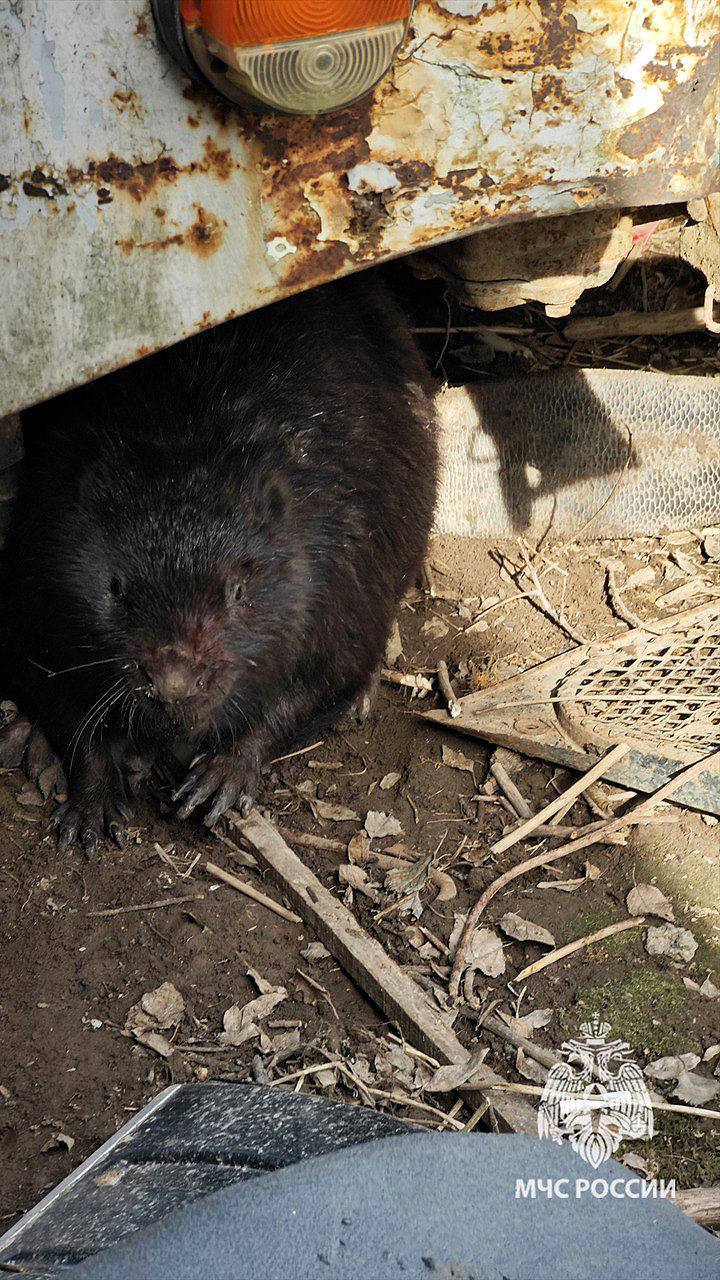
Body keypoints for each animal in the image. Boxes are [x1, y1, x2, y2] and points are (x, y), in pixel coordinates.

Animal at [1, 272, 438, 849]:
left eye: (238, 590)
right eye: (115, 587)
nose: (173, 684)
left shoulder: (343, 565)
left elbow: (327, 673)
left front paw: (219, 776)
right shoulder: (39, 563)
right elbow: (56, 688)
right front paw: (93, 806)